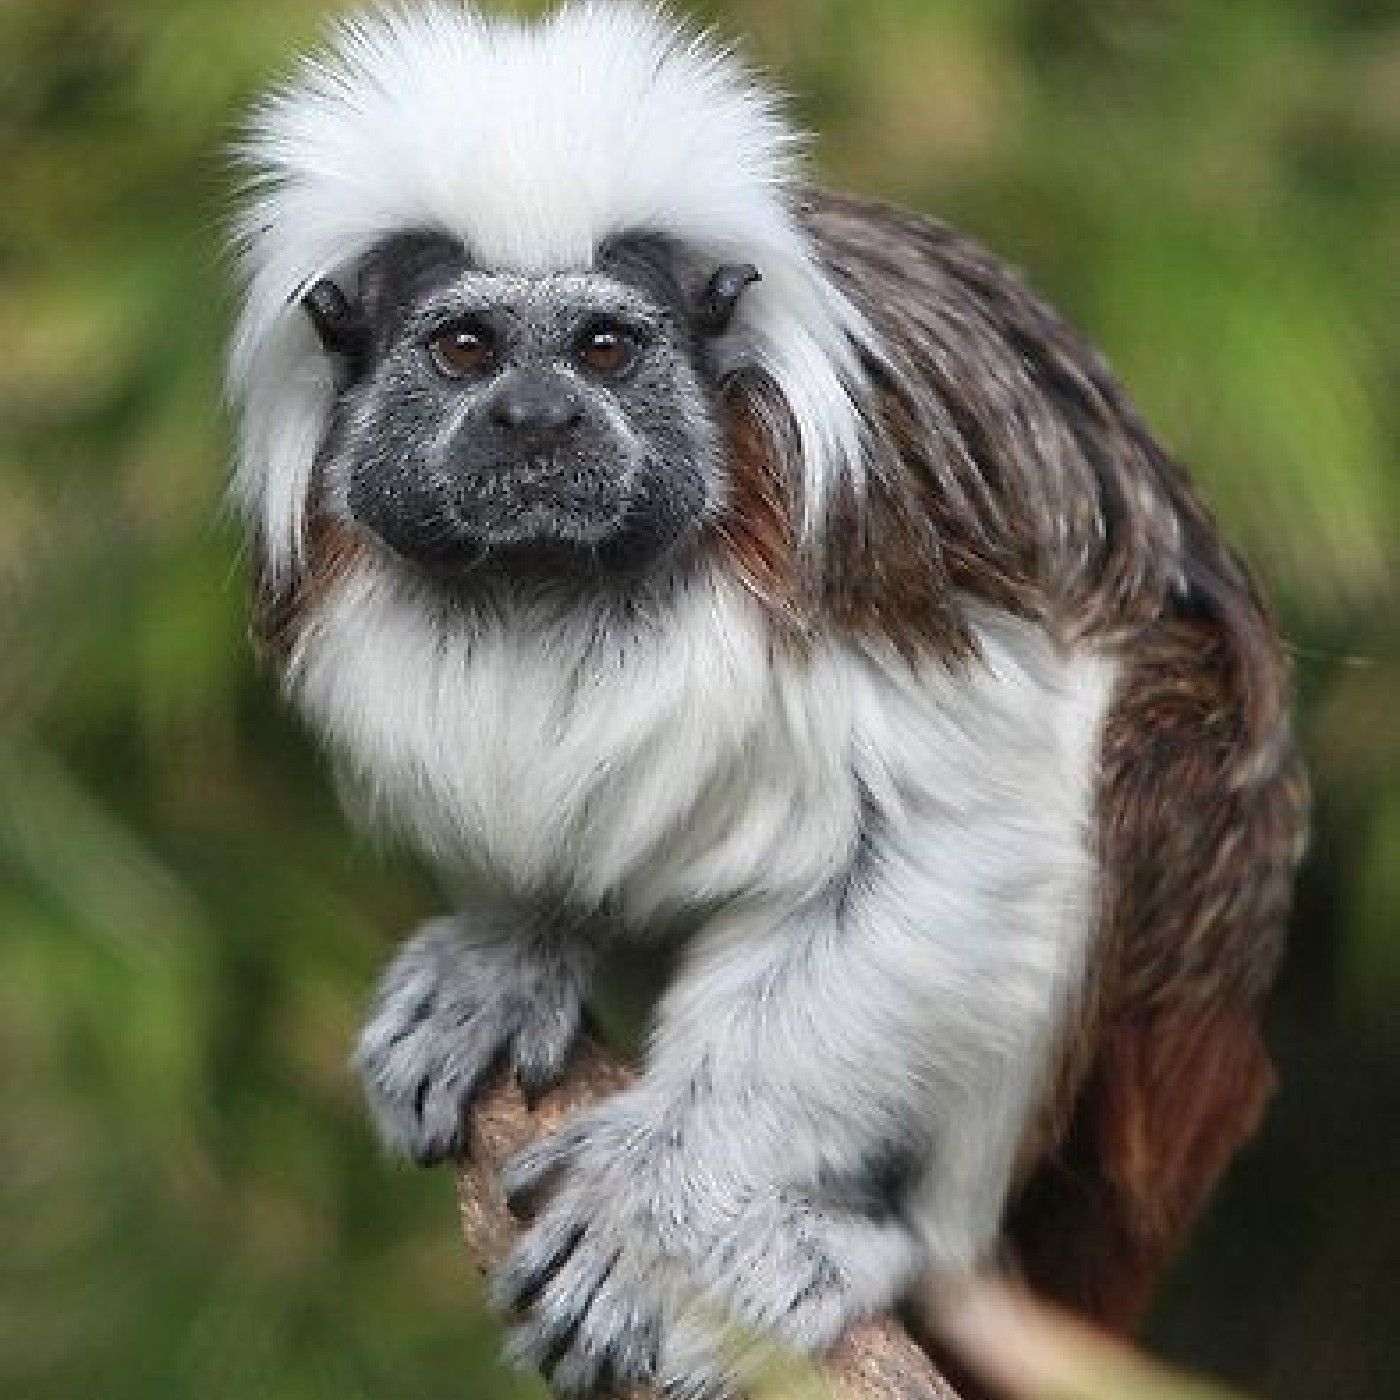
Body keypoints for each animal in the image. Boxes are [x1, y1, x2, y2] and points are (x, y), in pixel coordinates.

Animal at [227, 5, 1307, 1397]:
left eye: (603, 347)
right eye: (466, 347)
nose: (536, 415)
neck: (552, 584)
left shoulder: (865, 547)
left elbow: (975, 821)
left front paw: (658, 1203)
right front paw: (514, 944)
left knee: (1132, 764)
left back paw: (881, 1245)